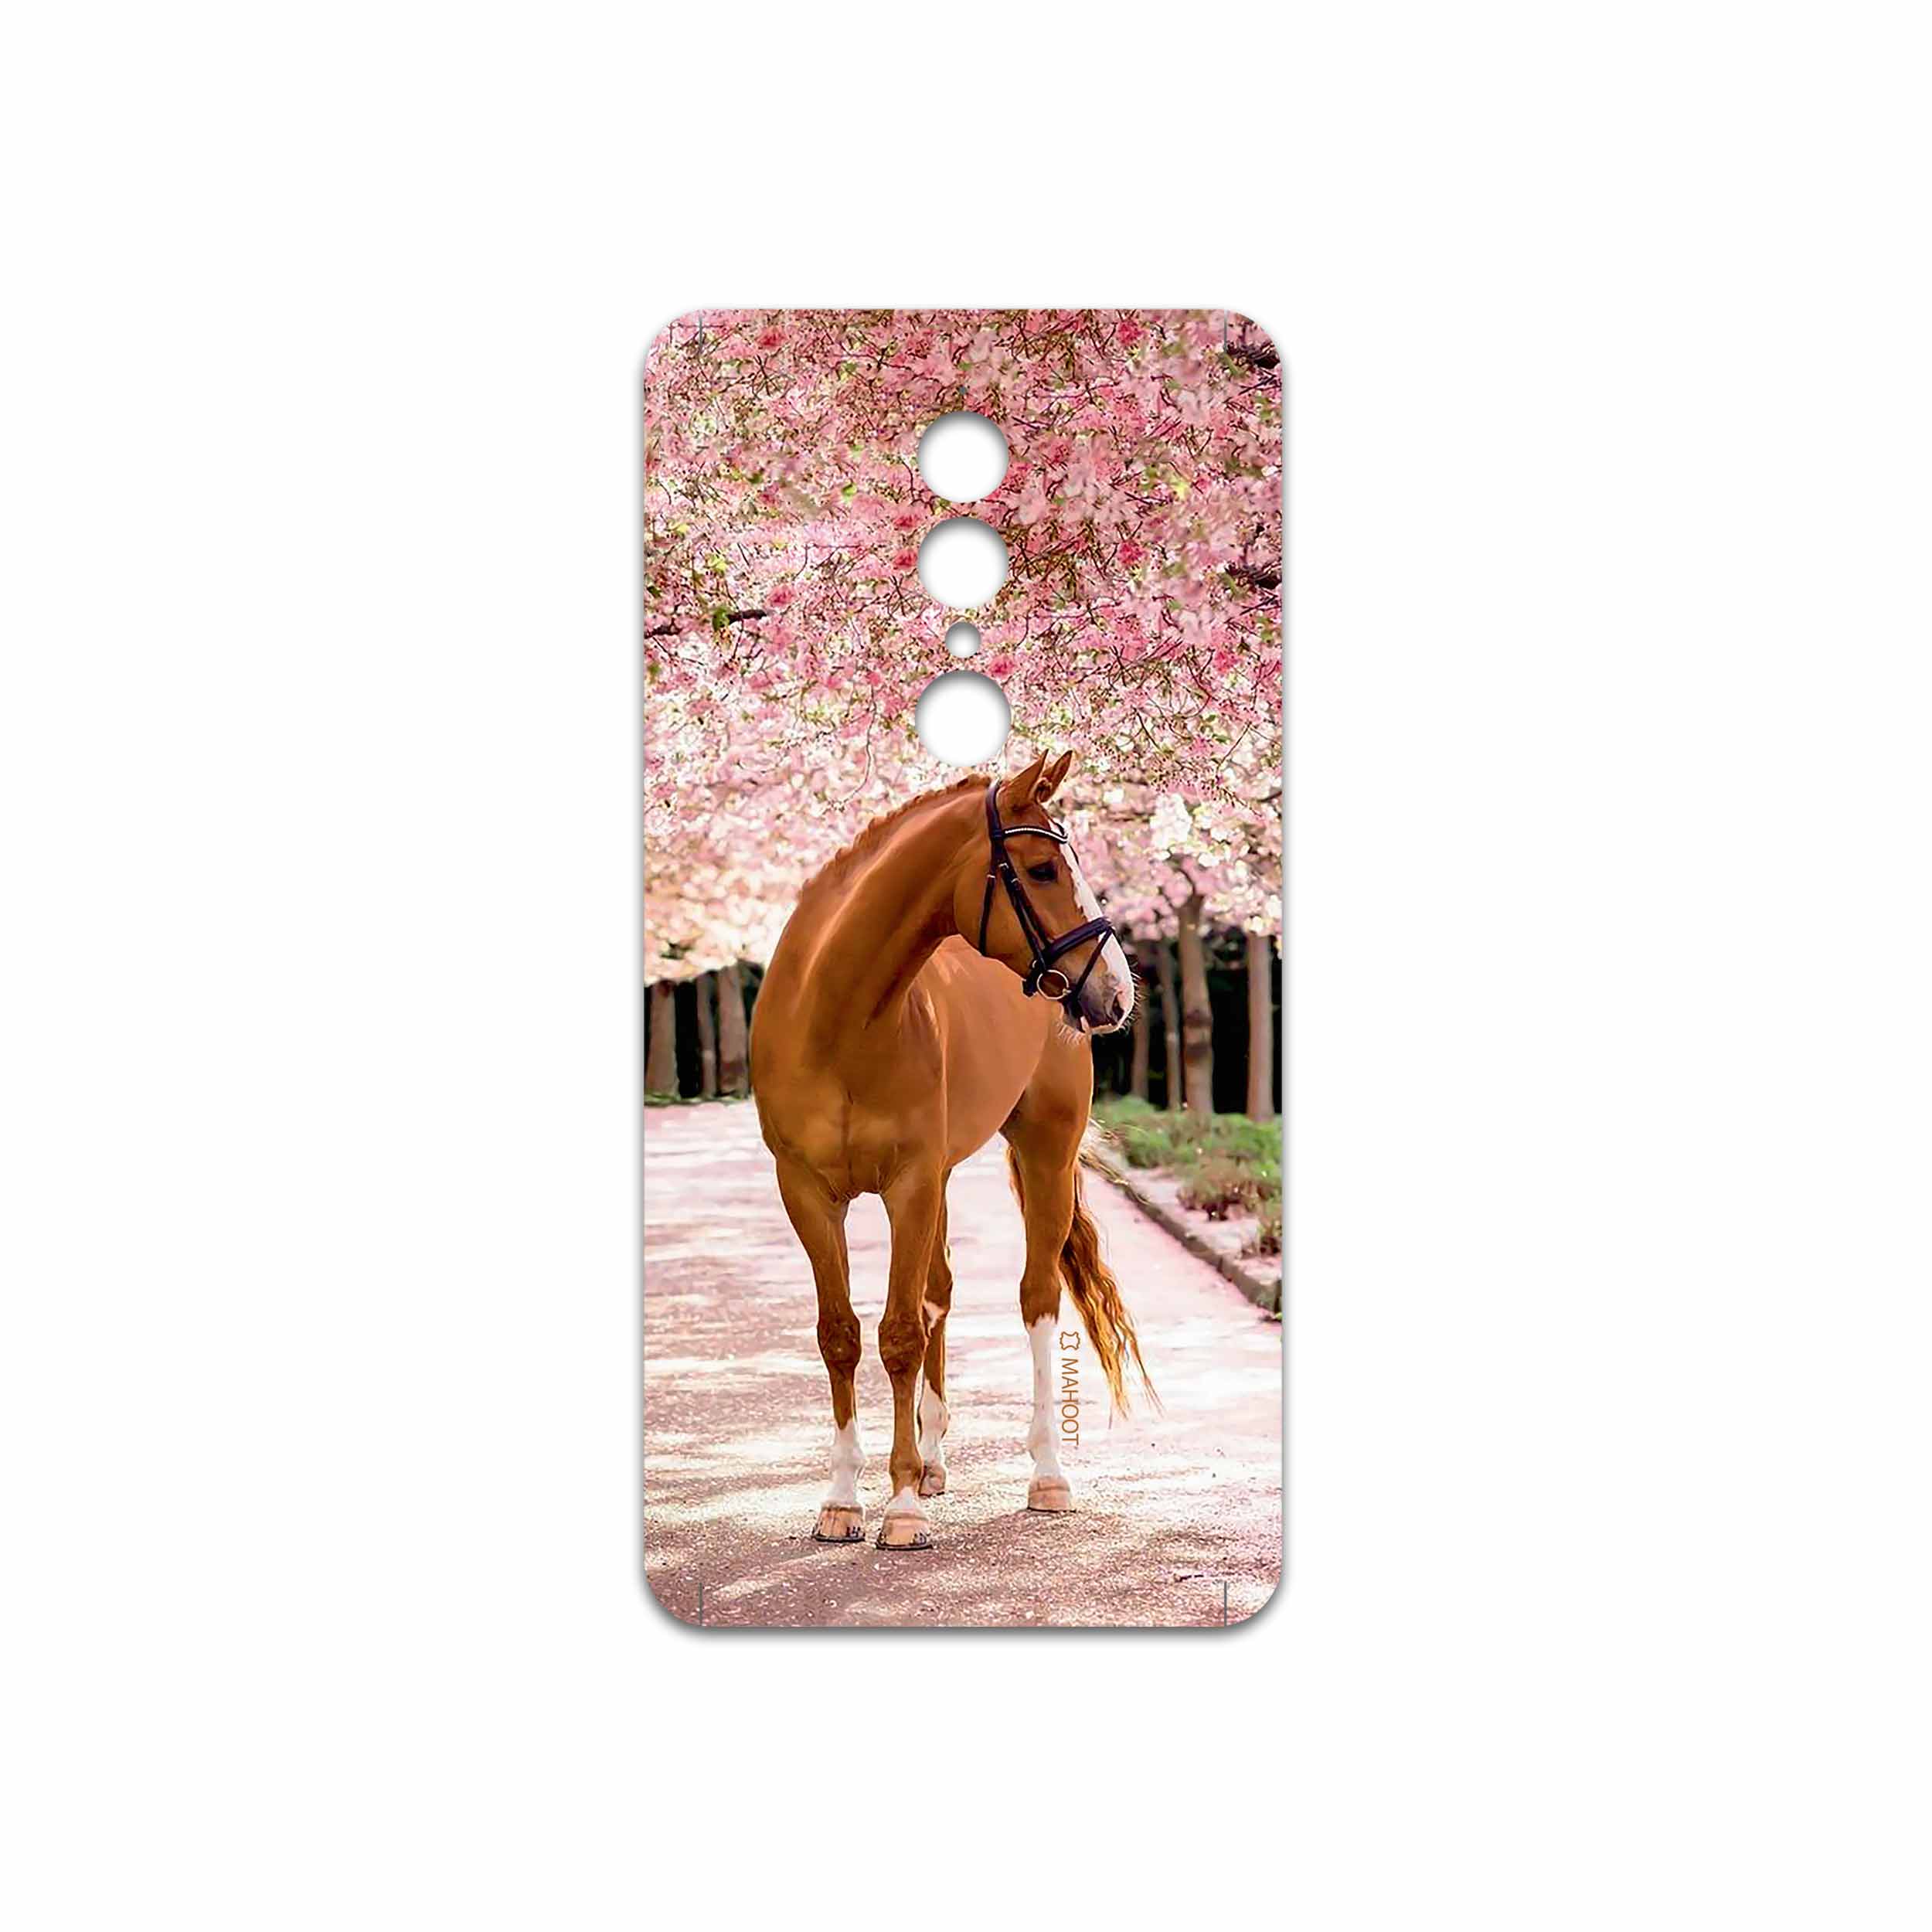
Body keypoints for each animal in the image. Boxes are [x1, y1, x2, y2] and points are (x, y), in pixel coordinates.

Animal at [749, 749, 1153, 1550]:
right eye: (1041, 869)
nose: (1117, 993)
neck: (837, 1020)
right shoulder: (808, 1192)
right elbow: (841, 1335)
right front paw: (843, 1500)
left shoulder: (908, 1184)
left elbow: (900, 1334)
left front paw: (900, 1508)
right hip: (939, 1180)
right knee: (939, 1293)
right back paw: (934, 1462)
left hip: (1044, 1153)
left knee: (1036, 1298)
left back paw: (1046, 1475)